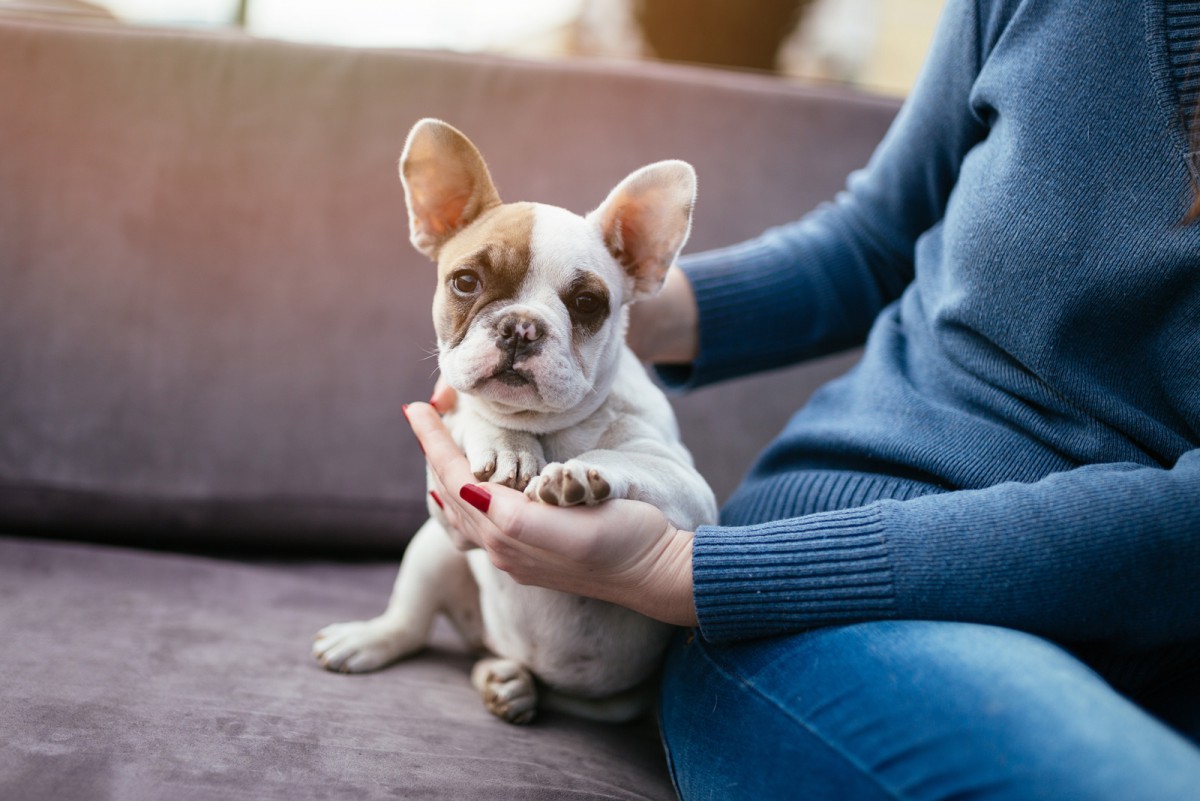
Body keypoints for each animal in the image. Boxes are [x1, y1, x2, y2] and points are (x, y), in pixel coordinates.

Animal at [314, 118, 715, 724]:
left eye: (588, 303)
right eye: (465, 282)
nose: (521, 327)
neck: (552, 426)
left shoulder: (689, 487)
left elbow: (623, 456)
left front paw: (577, 473)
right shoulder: (455, 414)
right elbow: (483, 415)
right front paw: (508, 444)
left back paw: (511, 684)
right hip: (433, 550)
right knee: (410, 624)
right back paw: (376, 642)